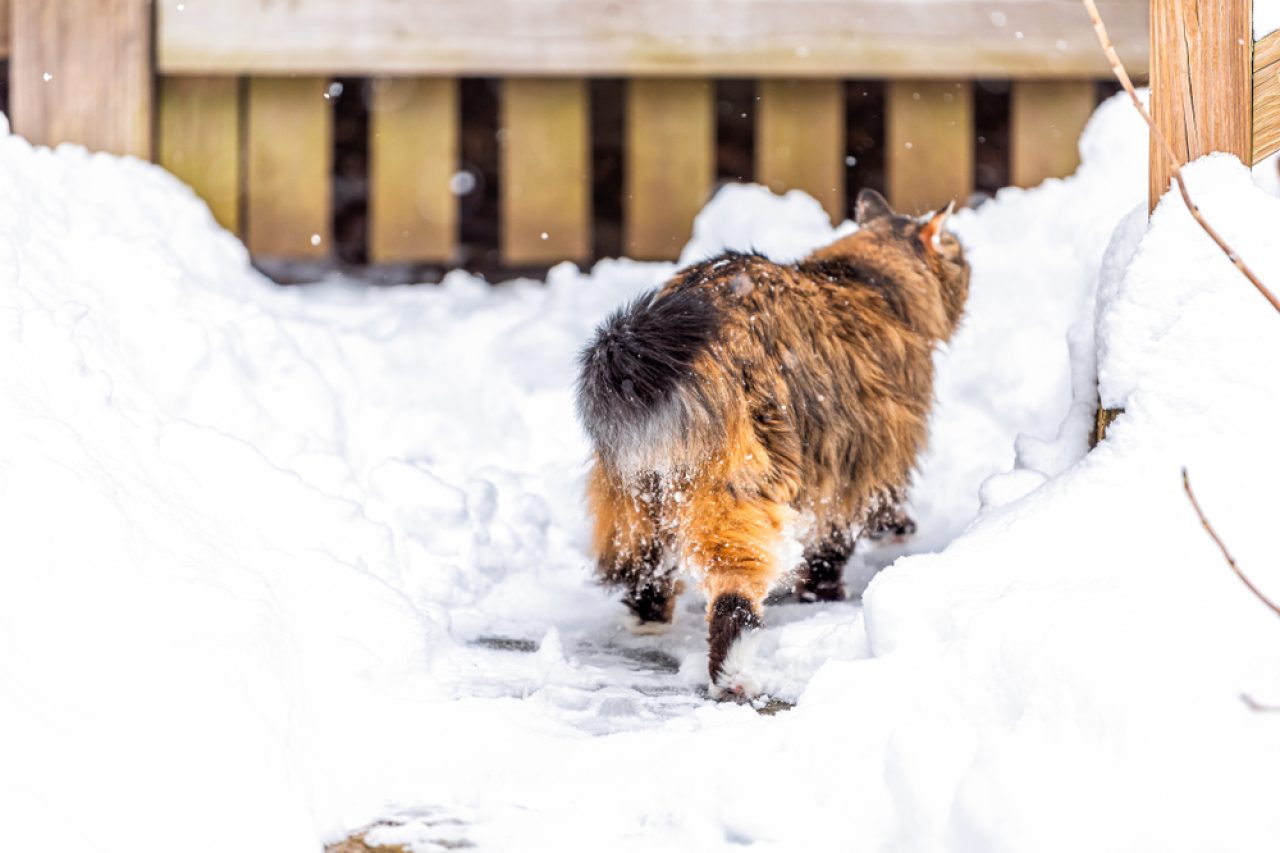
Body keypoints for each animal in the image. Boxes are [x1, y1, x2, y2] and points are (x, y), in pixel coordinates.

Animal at [576, 188, 962, 696]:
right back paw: (735, 674)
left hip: (635, 495)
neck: (869, 284)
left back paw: (650, 620)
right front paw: (832, 585)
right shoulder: (867, 453)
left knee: (644, 569)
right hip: (738, 482)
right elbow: (847, 529)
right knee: (733, 590)